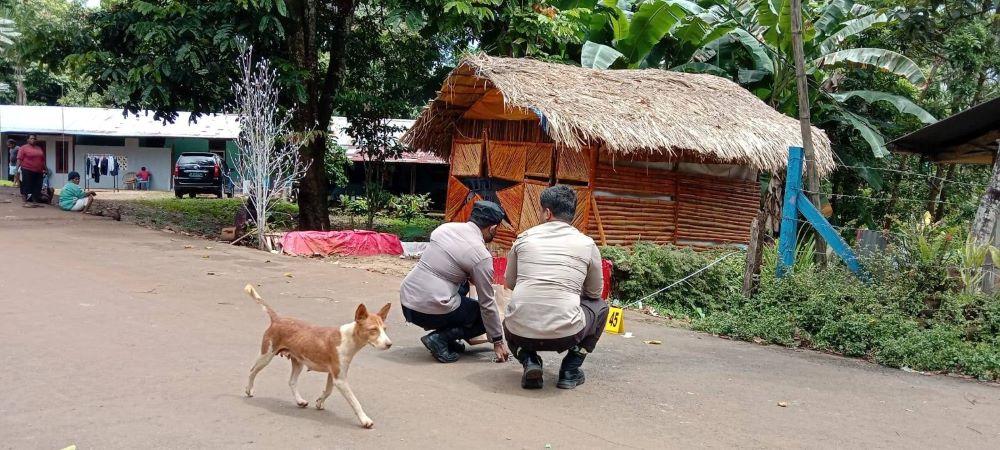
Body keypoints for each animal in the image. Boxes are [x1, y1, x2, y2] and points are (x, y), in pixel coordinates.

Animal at [244, 284, 392, 428]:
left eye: (384, 329)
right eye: (373, 330)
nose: (389, 344)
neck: (348, 338)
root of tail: (277, 319)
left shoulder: (334, 375)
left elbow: (328, 390)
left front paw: (320, 401)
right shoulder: (340, 379)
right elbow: (355, 401)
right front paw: (365, 420)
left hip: (298, 361)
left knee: (292, 382)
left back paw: (299, 400)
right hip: (266, 356)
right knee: (252, 371)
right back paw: (249, 389)